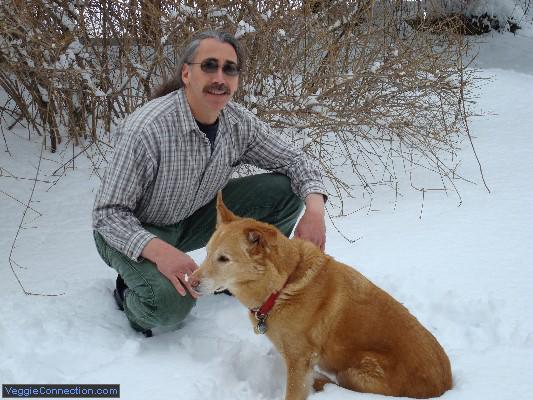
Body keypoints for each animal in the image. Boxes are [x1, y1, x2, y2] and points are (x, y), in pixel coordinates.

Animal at [191, 193, 452, 400]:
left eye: (224, 259)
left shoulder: (299, 360)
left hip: (356, 371)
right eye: (207, 253)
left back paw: (323, 383)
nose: (190, 282)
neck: (283, 286)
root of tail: (446, 386)